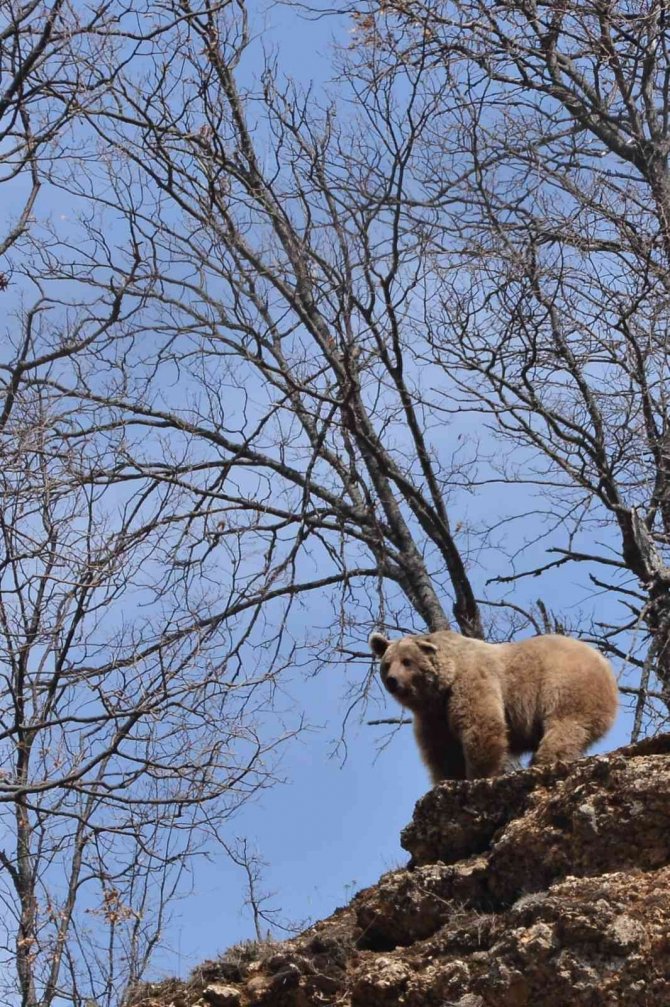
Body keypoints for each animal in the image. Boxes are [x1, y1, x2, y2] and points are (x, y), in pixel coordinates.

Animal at [368, 624, 620, 781]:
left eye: (407, 661)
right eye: (387, 664)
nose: (392, 680)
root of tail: (605, 664)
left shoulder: (471, 681)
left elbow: (480, 725)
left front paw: (478, 775)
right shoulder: (433, 717)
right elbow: (442, 751)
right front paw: (449, 778)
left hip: (565, 683)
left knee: (565, 724)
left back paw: (543, 760)